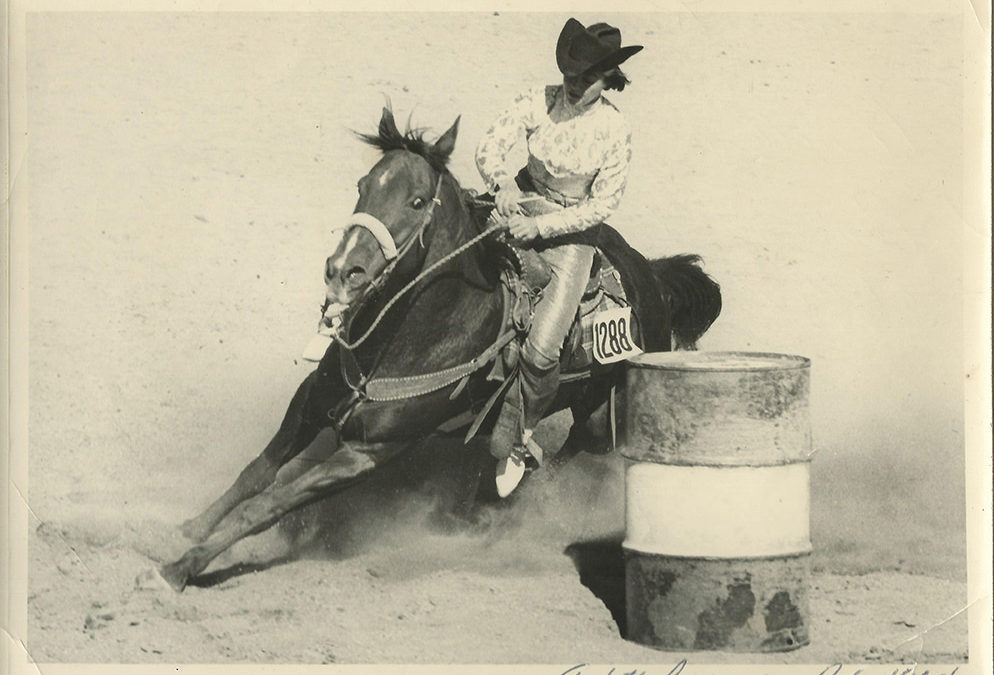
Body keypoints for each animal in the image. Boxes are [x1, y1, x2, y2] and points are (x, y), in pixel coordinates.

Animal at [147, 105, 716, 592]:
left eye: (417, 201)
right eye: (362, 186)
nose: (343, 270)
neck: (410, 334)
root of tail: (651, 275)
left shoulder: (370, 451)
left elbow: (268, 504)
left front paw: (180, 568)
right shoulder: (311, 398)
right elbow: (256, 473)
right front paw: (183, 530)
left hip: (599, 414)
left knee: (566, 451)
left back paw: (499, 499)